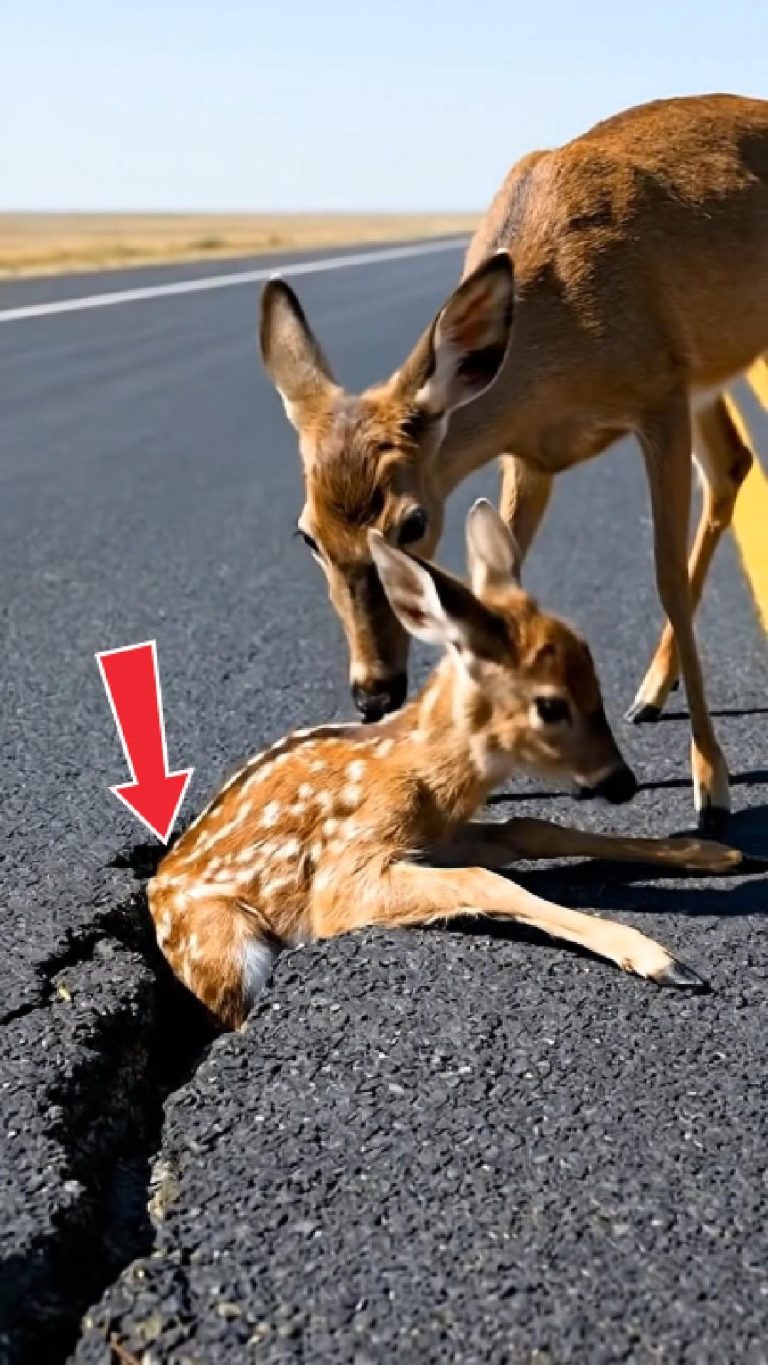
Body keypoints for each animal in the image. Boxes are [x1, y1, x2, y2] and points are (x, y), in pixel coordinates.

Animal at [148, 501, 742, 1030]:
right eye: (551, 706)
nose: (622, 782)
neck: (420, 776)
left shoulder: (436, 836)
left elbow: (530, 827)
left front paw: (715, 853)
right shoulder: (346, 868)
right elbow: (484, 881)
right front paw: (661, 959)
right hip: (226, 946)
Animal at [258, 92, 768, 839]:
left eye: (413, 522)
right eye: (307, 533)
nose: (373, 690)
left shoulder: (660, 397)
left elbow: (666, 579)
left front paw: (712, 783)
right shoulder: (532, 456)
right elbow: (499, 582)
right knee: (732, 462)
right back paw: (650, 691)